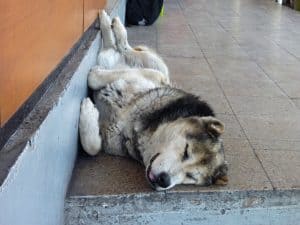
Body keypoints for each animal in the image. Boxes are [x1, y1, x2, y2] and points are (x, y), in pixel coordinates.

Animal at [78, 10, 229, 190]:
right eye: (186, 151)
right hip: (157, 66)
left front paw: (89, 111)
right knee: (125, 48)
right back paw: (112, 23)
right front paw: (94, 81)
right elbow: (95, 78)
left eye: (191, 177)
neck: (135, 130)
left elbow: (92, 147)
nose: (164, 181)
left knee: (111, 49)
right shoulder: (156, 77)